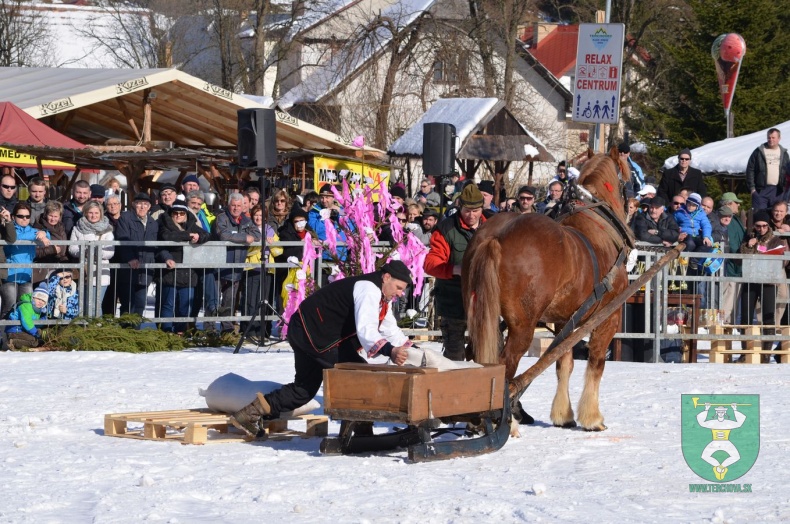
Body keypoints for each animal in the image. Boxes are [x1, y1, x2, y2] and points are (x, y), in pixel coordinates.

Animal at [460, 147, 636, 430]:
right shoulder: (608, 316)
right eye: (627, 178)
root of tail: (495, 237)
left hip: (480, 313)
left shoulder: (564, 319)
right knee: (505, 364)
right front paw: (592, 417)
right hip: (522, 326)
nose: (634, 204)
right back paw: (508, 423)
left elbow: (562, 362)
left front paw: (564, 415)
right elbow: (596, 363)